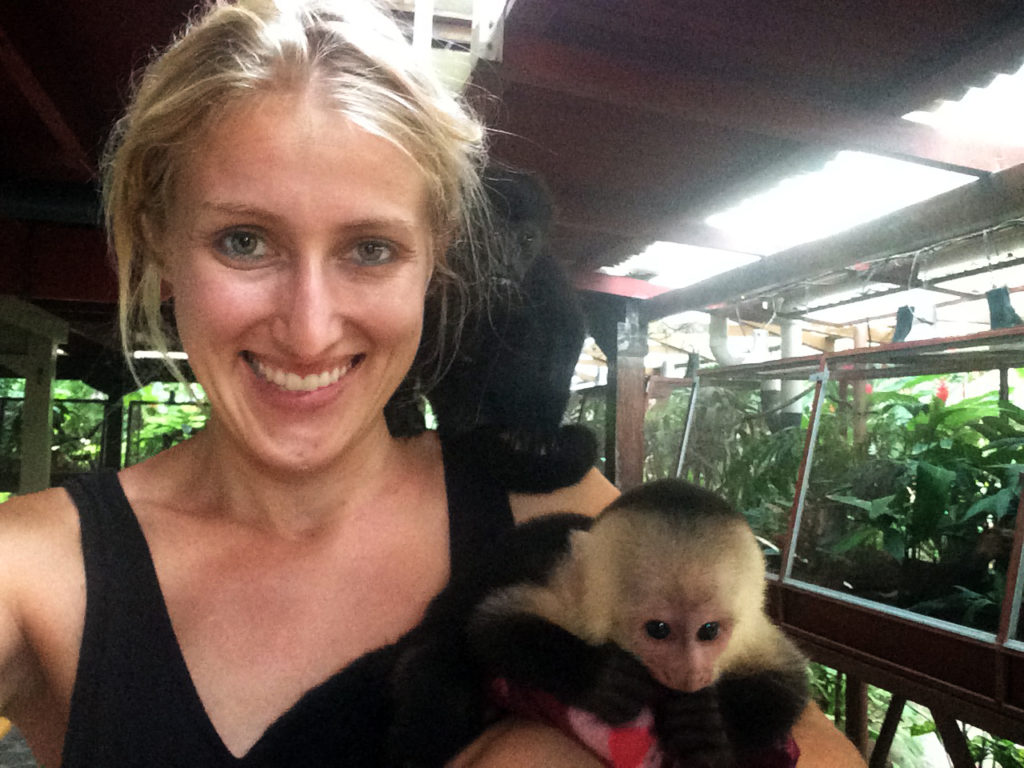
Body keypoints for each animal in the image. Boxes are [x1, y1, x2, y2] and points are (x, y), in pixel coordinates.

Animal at [387, 479, 811, 765]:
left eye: (709, 631)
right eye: (658, 630)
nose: (689, 676)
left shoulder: (749, 634)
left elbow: (790, 677)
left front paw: (710, 728)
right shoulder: (576, 601)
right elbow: (492, 625)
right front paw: (604, 679)